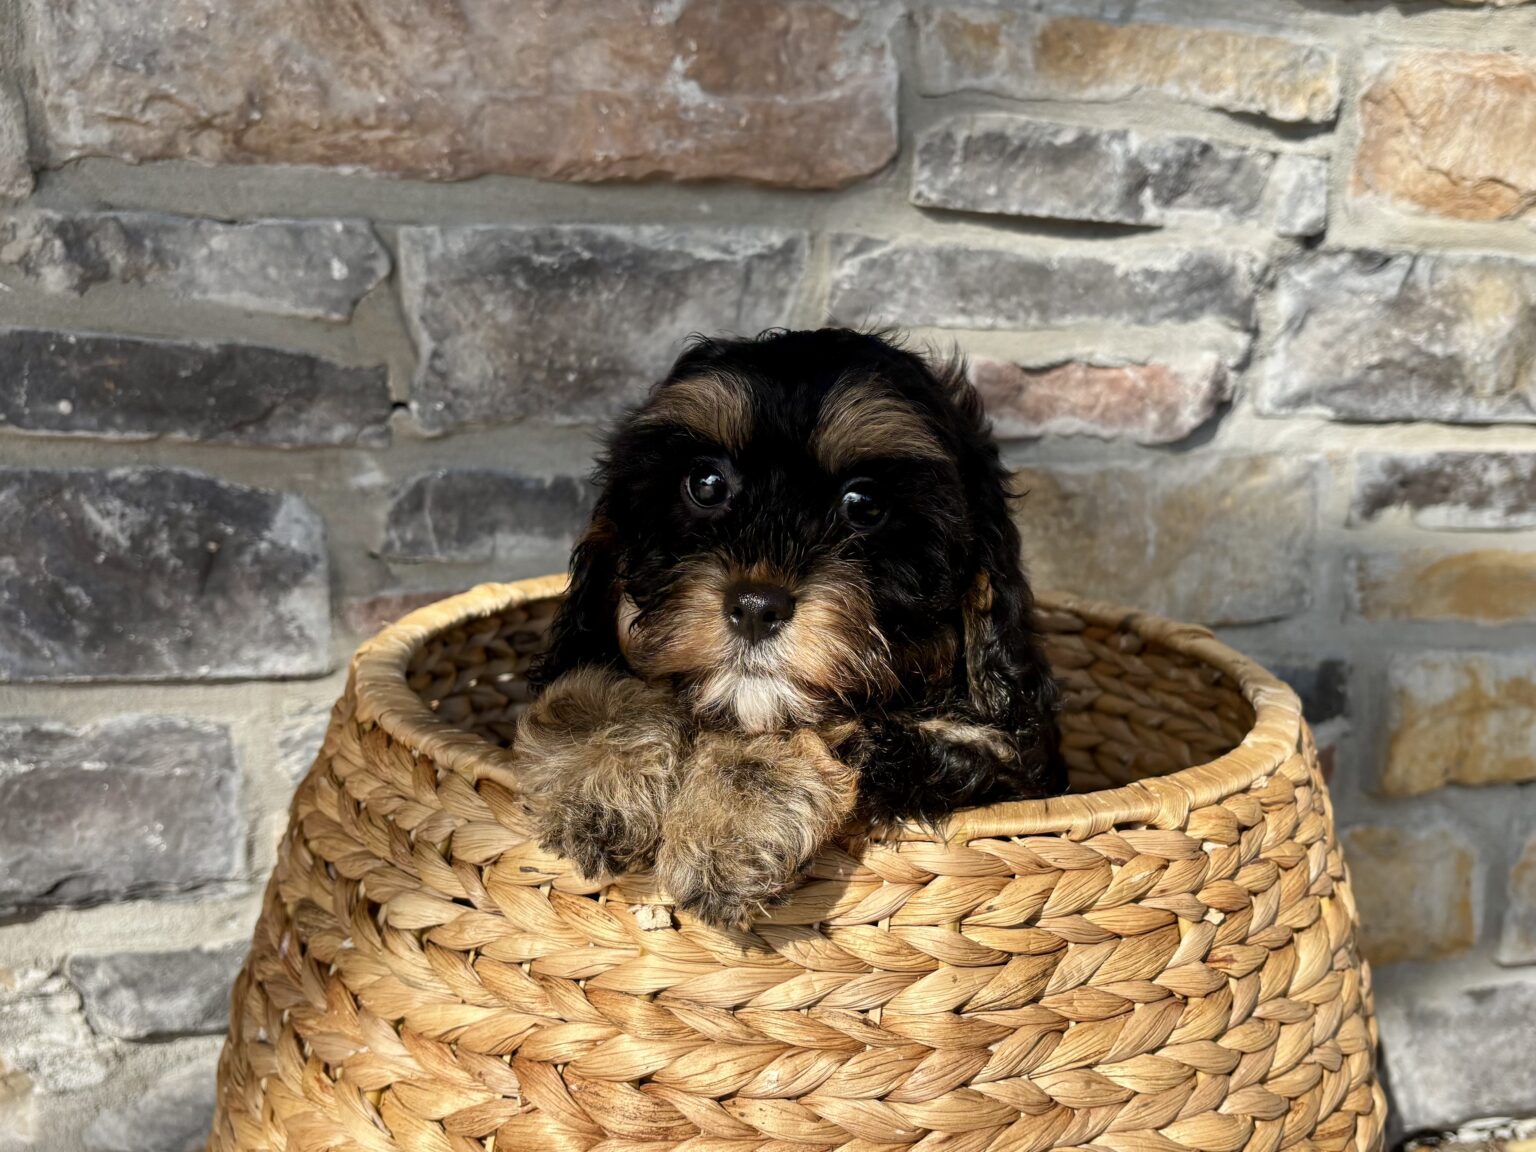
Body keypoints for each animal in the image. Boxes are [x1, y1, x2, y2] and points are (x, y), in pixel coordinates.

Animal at [515, 327, 1064, 927]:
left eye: (864, 504)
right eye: (705, 483)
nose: (756, 606)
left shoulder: (988, 755)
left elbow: (836, 727)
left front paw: (729, 828)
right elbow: (600, 686)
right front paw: (595, 784)